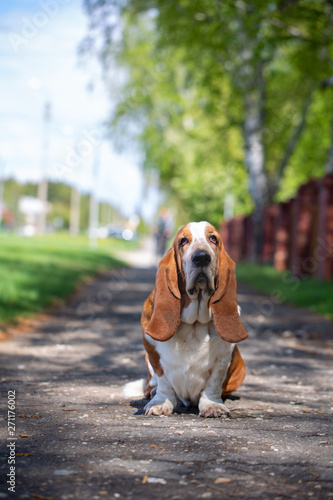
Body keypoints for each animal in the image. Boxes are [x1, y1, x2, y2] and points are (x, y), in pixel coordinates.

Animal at [140, 221, 246, 416]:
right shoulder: (153, 354)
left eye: (213, 239)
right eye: (183, 241)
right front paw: (159, 403)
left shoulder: (223, 358)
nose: (202, 257)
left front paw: (213, 405)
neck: (195, 323)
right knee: (151, 385)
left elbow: (213, 383)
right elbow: (164, 383)